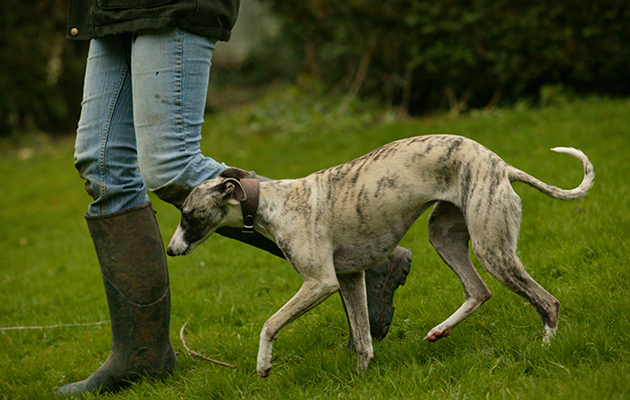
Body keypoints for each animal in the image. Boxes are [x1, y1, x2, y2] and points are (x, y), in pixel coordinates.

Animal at [165, 136, 596, 376]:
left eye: (187, 215)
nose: (170, 249)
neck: (272, 203)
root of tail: (501, 164)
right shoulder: (348, 278)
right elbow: (362, 338)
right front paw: (361, 375)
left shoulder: (320, 282)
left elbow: (270, 324)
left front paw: (263, 365)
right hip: (445, 235)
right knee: (479, 291)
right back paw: (440, 331)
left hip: (492, 248)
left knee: (547, 301)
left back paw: (546, 348)